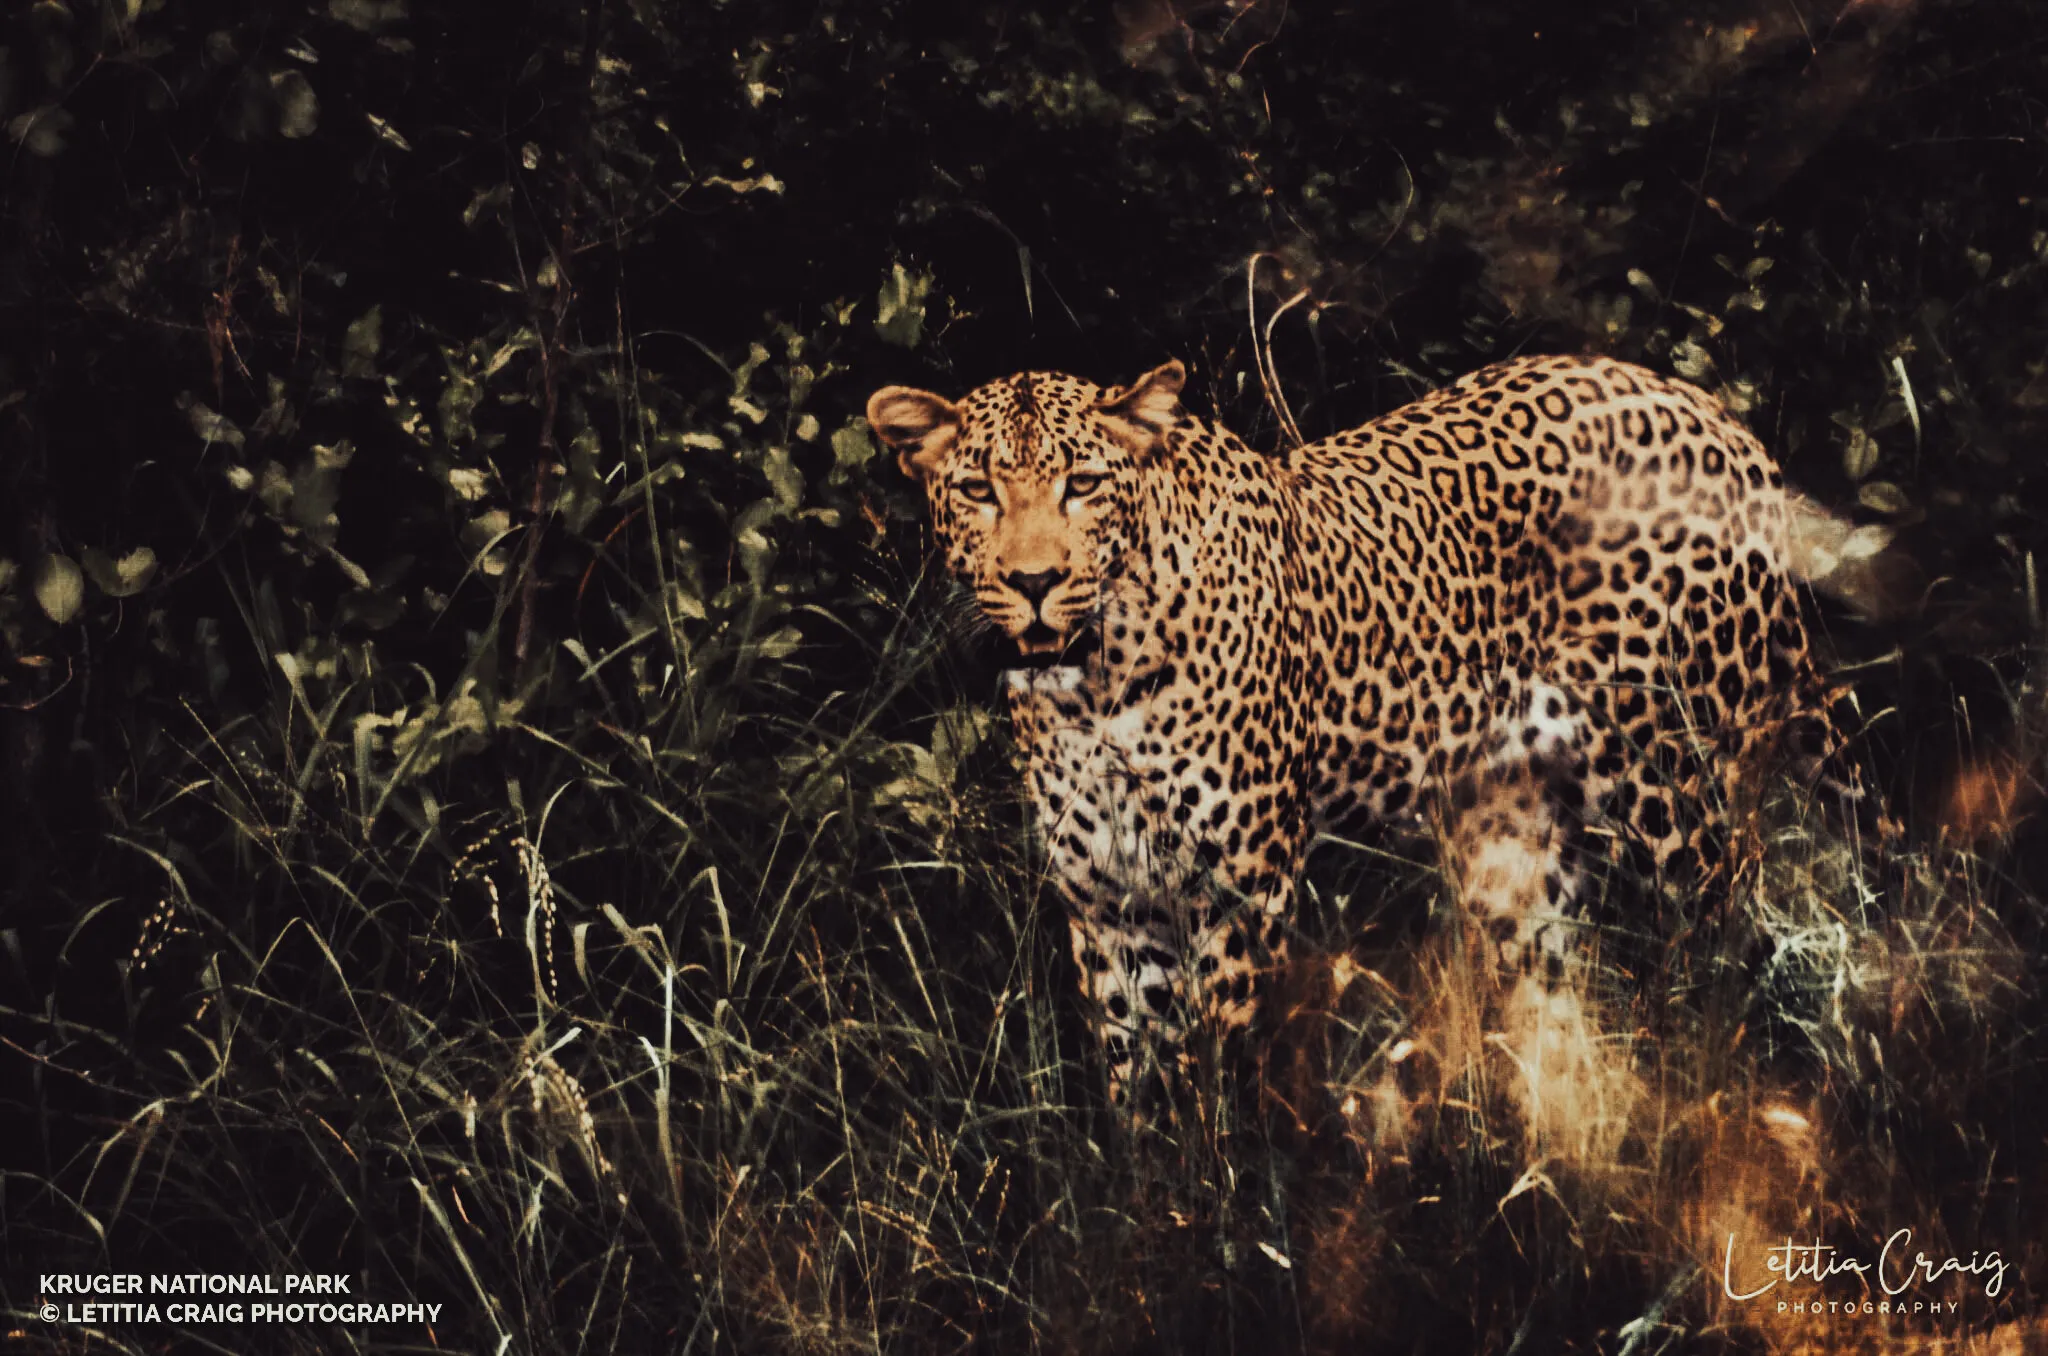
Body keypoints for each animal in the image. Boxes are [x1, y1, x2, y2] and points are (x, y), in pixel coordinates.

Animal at [868, 353, 1868, 1118]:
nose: (1034, 582)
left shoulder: (1241, 893)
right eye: (977, 491)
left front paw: (1228, 1210)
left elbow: (1226, 1074)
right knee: (1556, 982)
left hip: (1673, 778)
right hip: (1513, 837)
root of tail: (1712, 415)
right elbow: (1138, 1087)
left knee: (1726, 933)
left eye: (1081, 486)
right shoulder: (1109, 907)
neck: (1092, 687)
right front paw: (1155, 1212)